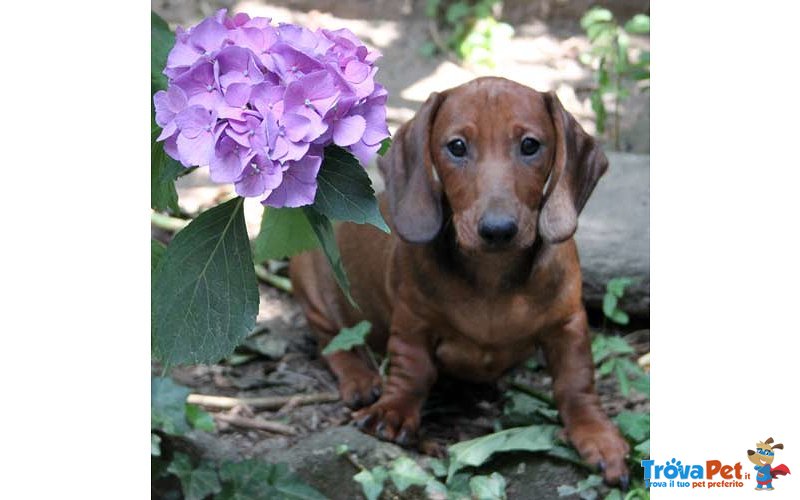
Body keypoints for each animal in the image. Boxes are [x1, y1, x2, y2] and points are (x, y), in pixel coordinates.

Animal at [290, 77, 628, 484]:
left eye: (530, 145)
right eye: (457, 147)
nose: (498, 230)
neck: (492, 275)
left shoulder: (569, 324)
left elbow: (576, 382)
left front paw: (597, 434)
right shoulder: (412, 321)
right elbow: (414, 369)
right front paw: (393, 410)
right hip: (311, 282)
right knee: (333, 342)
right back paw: (360, 378)